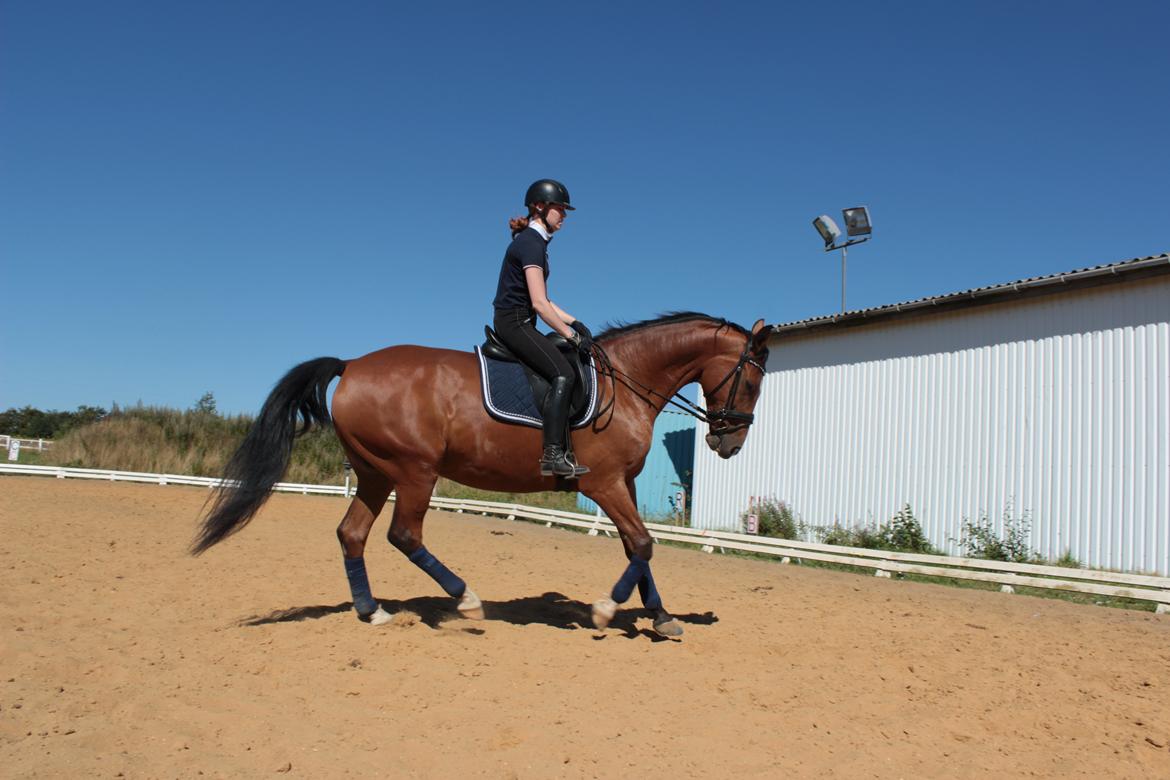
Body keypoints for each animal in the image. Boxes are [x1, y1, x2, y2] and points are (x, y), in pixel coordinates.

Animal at [194, 313, 767, 636]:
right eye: (754, 381)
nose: (729, 443)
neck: (625, 382)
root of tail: (352, 364)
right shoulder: (603, 483)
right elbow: (644, 544)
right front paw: (606, 612)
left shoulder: (621, 484)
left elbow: (637, 549)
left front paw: (663, 618)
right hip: (414, 471)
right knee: (404, 535)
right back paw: (466, 600)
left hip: (376, 474)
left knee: (351, 533)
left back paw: (372, 612)